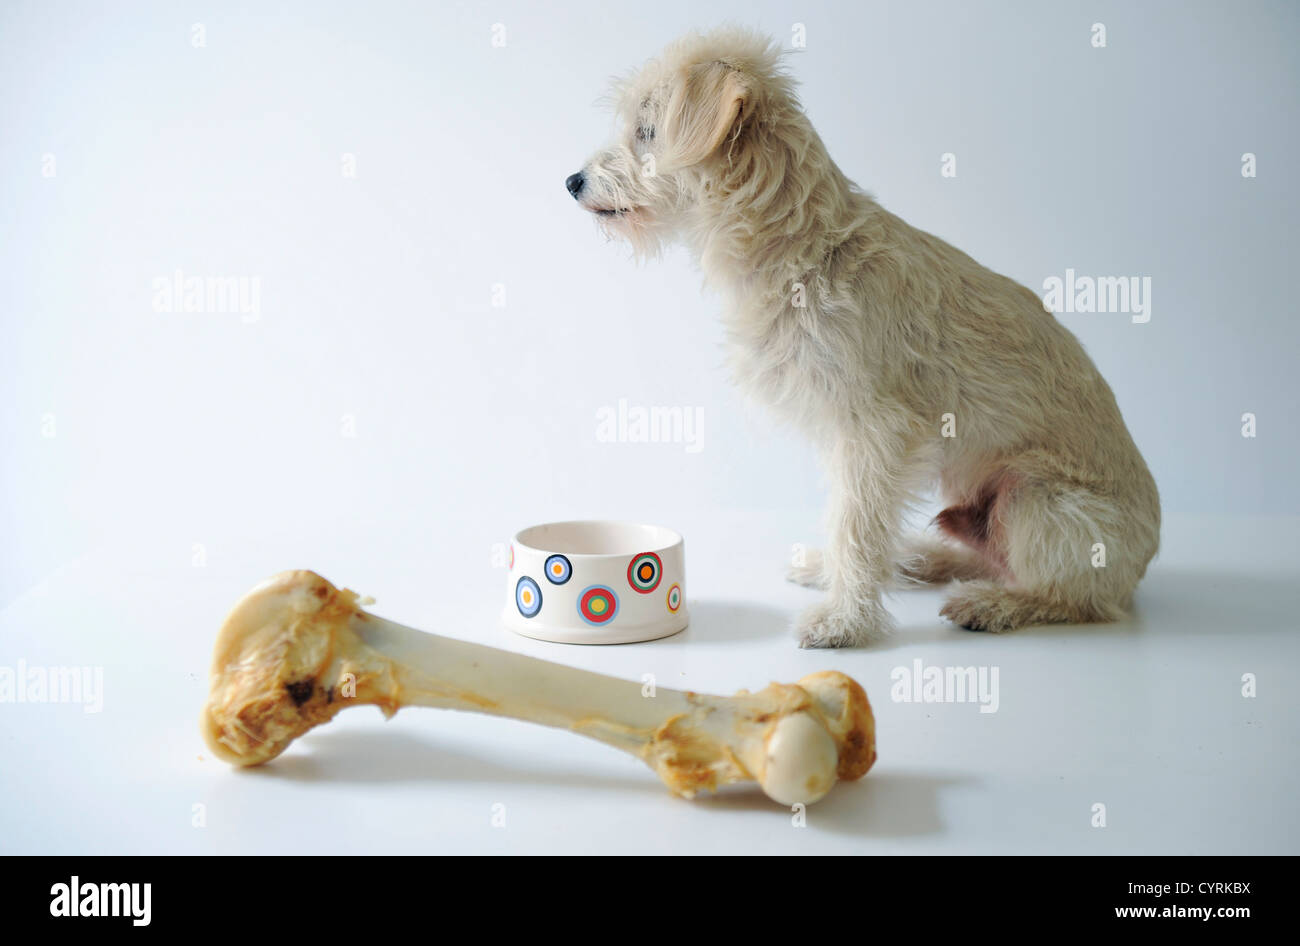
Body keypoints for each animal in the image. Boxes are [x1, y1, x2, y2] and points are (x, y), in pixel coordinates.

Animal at [566, 31, 1159, 649]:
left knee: (1076, 598)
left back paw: (996, 603)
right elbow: (848, 519)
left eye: (646, 131)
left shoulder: (876, 432)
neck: (804, 254)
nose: (572, 182)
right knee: (987, 558)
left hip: (1032, 498)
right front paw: (837, 578)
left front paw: (844, 621)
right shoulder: (844, 436)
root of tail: (1142, 564)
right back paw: (924, 560)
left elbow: (857, 523)